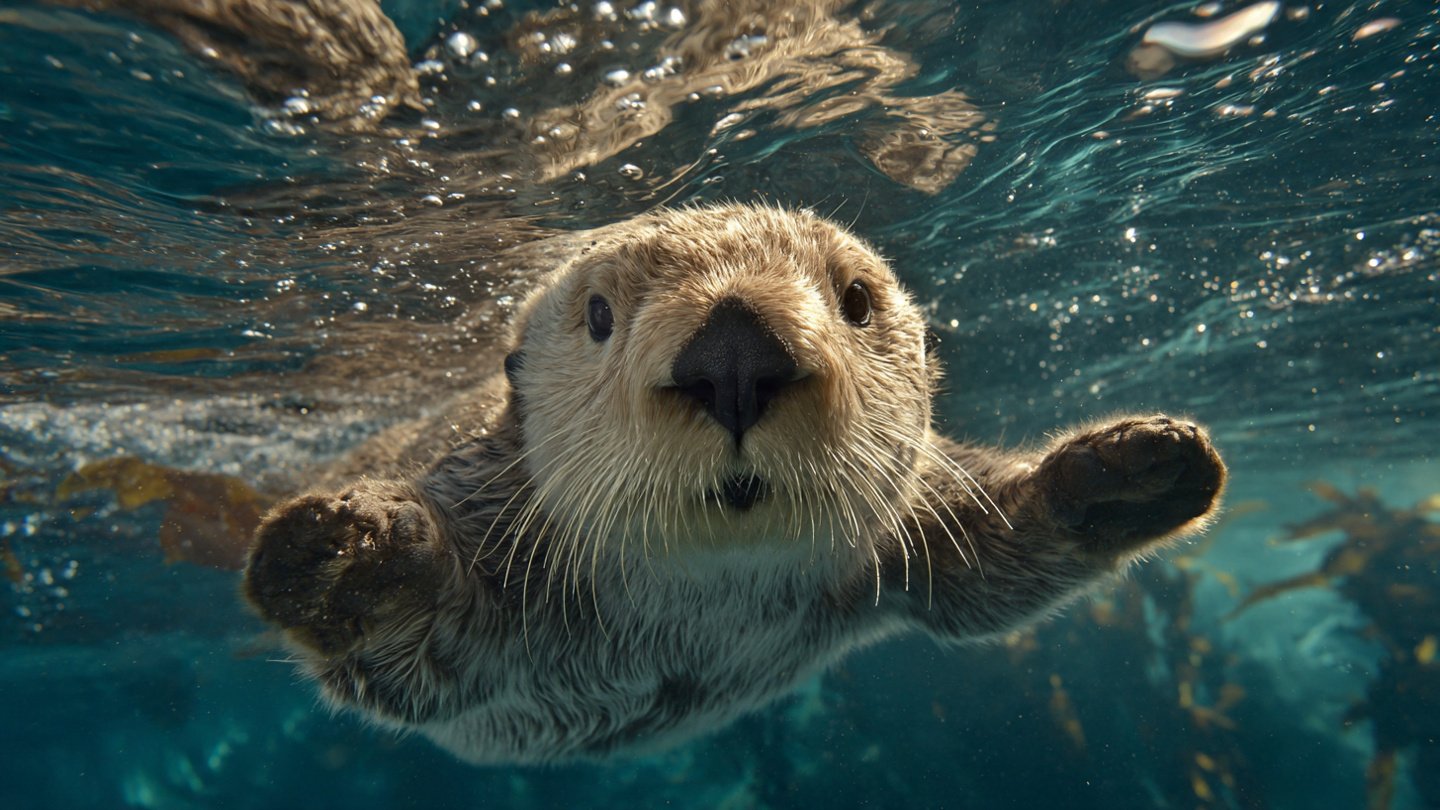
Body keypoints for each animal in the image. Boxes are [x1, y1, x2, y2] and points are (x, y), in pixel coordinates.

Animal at [244, 204, 1226, 764]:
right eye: (598, 314)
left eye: (856, 299)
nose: (734, 354)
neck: (707, 609)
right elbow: (408, 661)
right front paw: (346, 553)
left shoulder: (903, 542)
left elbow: (990, 567)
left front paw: (1133, 469)